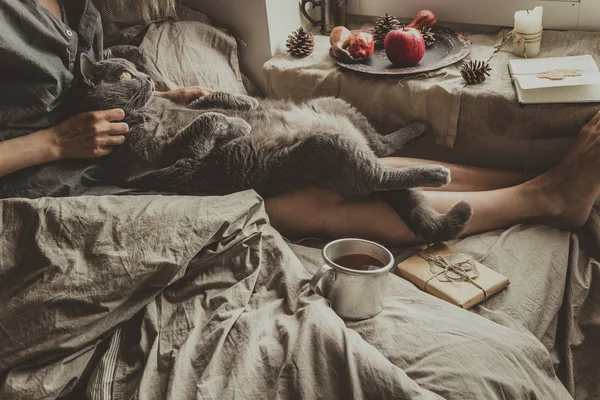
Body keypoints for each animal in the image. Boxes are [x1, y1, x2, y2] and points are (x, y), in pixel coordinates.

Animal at [76, 54, 468, 241]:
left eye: (136, 68)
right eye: (125, 75)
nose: (148, 78)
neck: (150, 109)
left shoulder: (190, 104)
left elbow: (211, 101)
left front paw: (245, 103)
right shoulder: (157, 157)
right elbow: (204, 123)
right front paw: (239, 124)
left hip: (335, 106)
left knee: (383, 147)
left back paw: (417, 127)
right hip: (329, 146)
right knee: (377, 176)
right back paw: (436, 173)